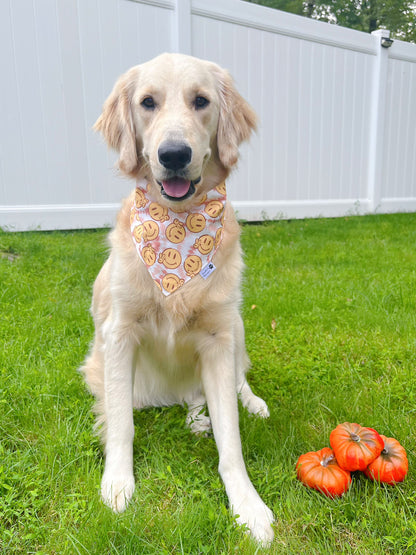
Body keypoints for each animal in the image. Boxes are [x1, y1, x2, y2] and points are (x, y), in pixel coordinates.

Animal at [82, 54, 276, 544]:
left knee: (227, 386)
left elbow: (231, 440)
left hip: (236, 325)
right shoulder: (118, 334)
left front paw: (248, 506)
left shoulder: (218, 337)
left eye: (201, 101)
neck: (178, 224)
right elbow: (121, 423)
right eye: (147, 102)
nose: (173, 155)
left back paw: (247, 404)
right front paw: (117, 484)